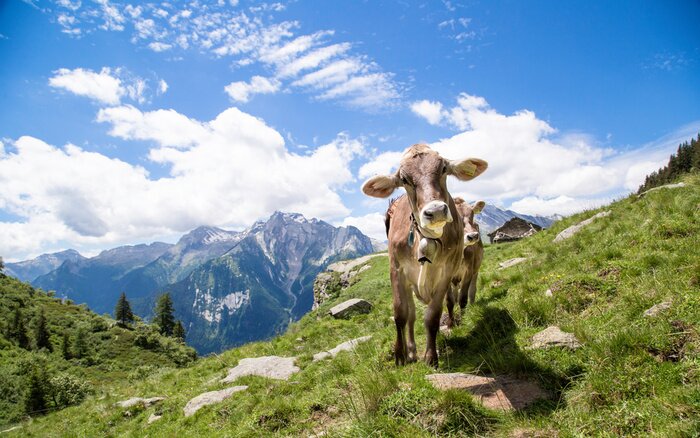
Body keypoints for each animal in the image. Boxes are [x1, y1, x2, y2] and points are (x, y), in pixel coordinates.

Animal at [444, 197, 485, 329]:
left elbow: (463, 298)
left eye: (472, 214)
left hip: (476, 270)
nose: (473, 236)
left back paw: (472, 305)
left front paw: (464, 321)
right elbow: (450, 300)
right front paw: (451, 323)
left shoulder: (469, 271)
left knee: (472, 290)